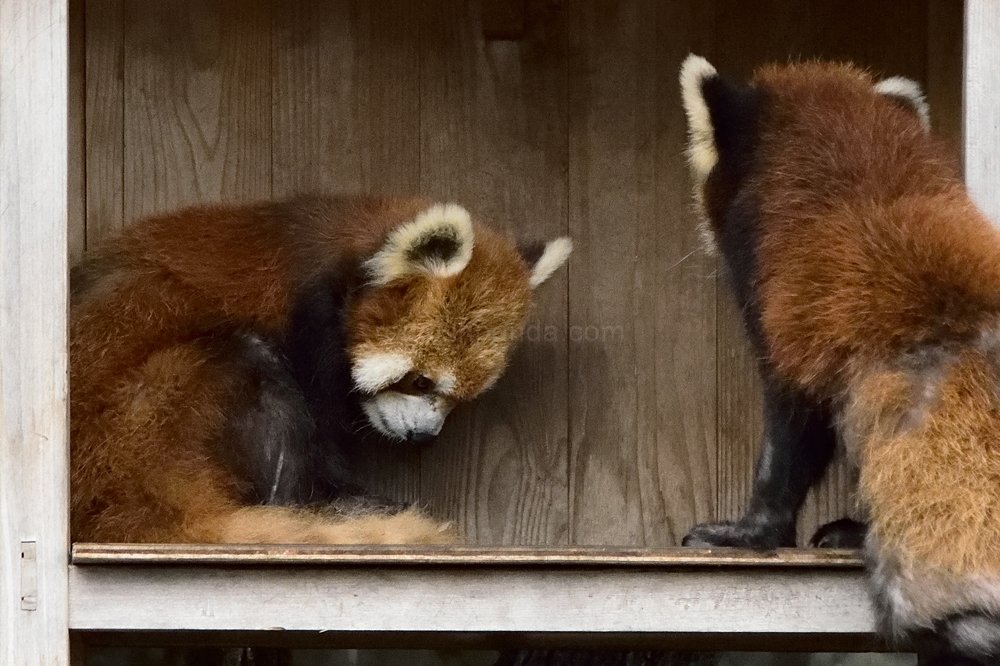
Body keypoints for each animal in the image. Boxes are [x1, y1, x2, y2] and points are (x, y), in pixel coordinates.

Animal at [72, 193, 572, 544]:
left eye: (459, 398)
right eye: (420, 380)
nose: (423, 436)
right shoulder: (308, 327)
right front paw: (346, 495)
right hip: (151, 421)